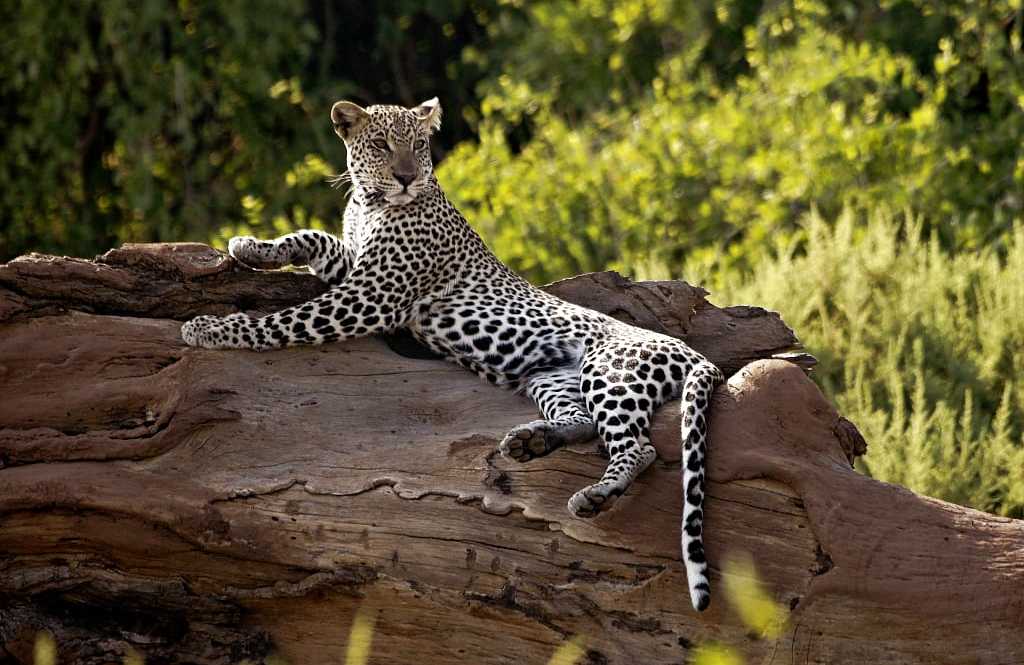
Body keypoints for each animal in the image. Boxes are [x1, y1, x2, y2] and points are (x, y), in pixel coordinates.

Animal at [181, 97, 725, 611]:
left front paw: (210, 327)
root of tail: (697, 354)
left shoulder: (370, 297)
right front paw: (250, 245)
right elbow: (314, 236)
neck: (368, 202)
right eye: (381, 144)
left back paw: (592, 495)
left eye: (419, 145)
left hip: (609, 370)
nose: (406, 177)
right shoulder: (355, 272)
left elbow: (283, 321)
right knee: (585, 422)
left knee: (639, 447)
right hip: (550, 376)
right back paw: (530, 442)